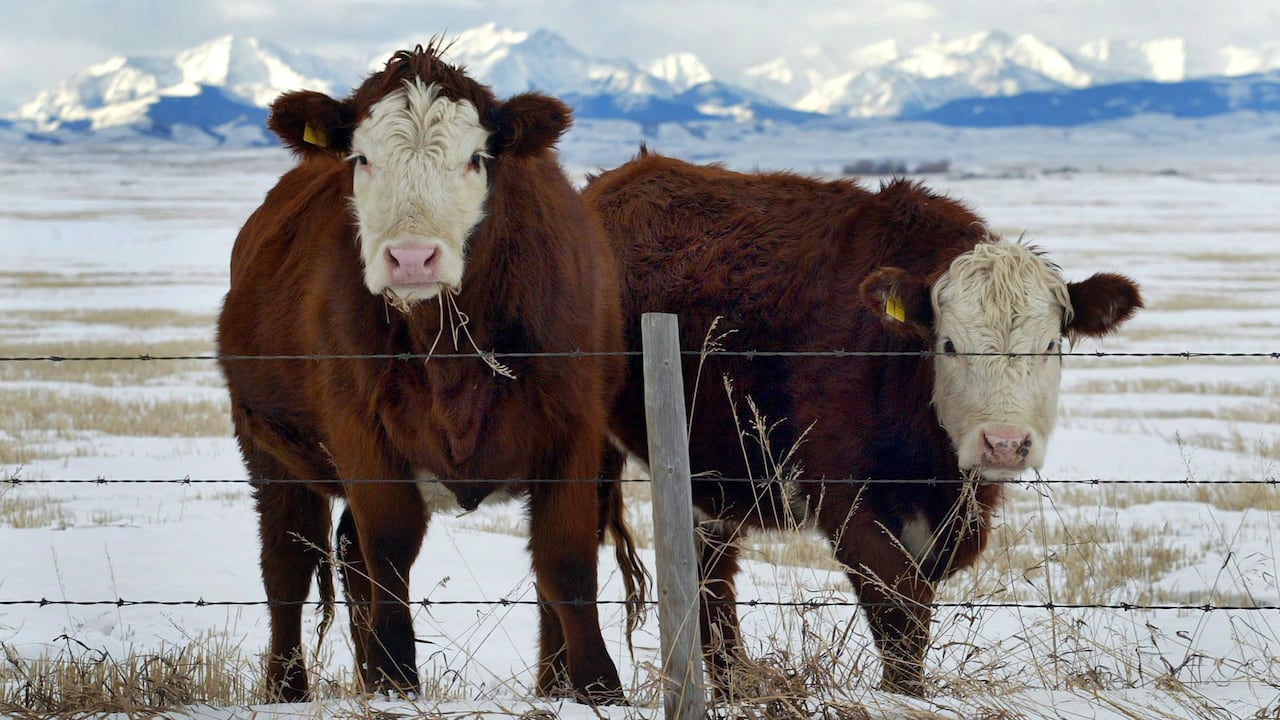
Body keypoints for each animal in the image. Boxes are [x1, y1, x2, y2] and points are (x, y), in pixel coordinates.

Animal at [215, 44, 644, 705]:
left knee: (346, 553)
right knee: (288, 563)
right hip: (266, 446)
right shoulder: (359, 428)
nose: (412, 258)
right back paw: (288, 688)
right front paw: (397, 680)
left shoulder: (576, 429)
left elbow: (566, 561)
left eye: (475, 158)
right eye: (362, 158)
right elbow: (389, 548)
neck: (450, 357)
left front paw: (598, 690)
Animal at [583, 149, 1143, 697]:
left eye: (1049, 345)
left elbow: (915, 609)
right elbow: (898, 608)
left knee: (709, 573)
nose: (1004, 444)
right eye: (949, 345)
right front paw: (903, 697)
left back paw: (734, 685)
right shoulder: (842, 496)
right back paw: (590, 686)